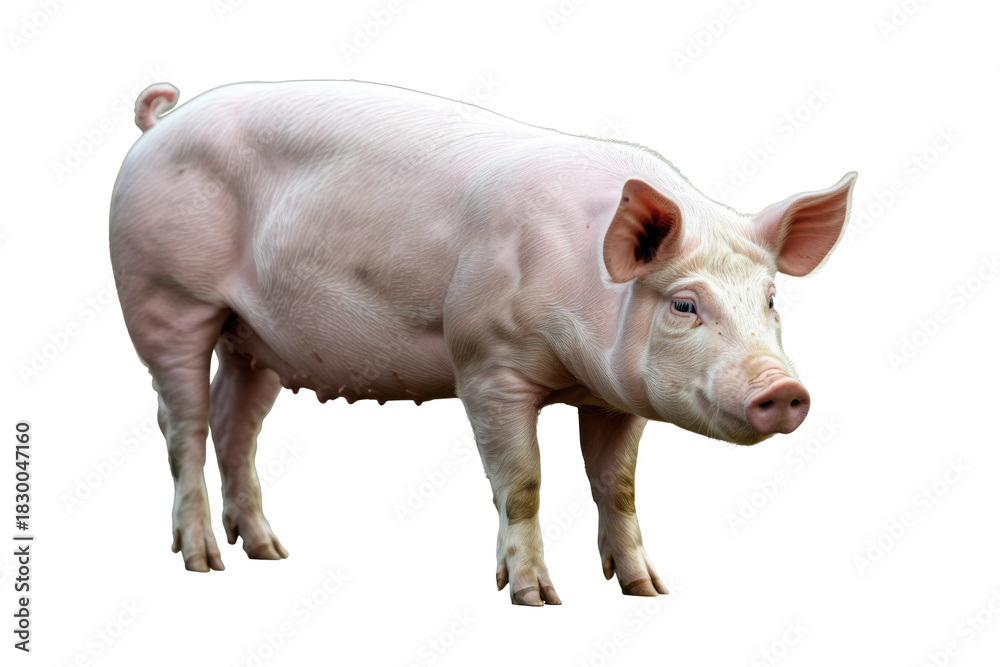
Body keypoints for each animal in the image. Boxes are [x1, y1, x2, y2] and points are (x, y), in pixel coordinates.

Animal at [110, 80, 855, 606]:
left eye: (770, 298)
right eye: (683, 303)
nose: (784, 388)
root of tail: (162, 122)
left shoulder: (616, 398)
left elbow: (616, 485)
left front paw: (648, 589)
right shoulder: (486, 364)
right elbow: (522, 481)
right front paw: (536, 598)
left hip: (254, 335)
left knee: (234, 422)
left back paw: (270, 551)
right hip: (165, 296)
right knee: (182, 422)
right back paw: (204, 560)